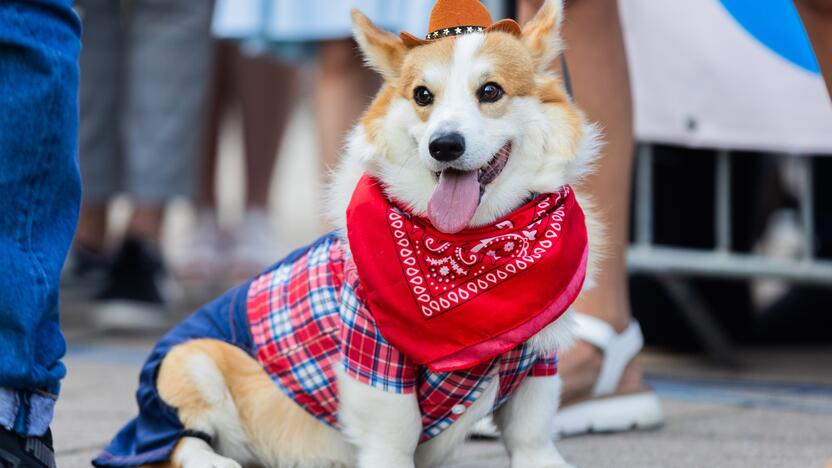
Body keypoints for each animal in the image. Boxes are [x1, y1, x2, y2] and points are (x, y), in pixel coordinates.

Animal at [96, 0, 604, 468]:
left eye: (491, 90)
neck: (472, 244)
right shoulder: (374, 356)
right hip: (188, 363)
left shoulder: (539, 356)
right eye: (423, 95)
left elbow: (531, 429)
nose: (444, 145)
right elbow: (393, 433)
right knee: (176, 444)